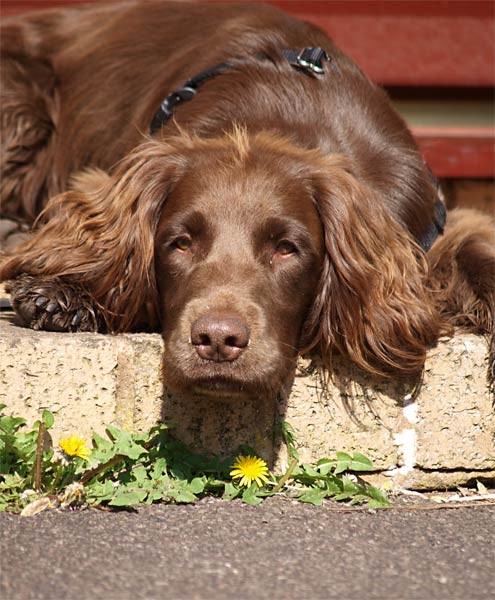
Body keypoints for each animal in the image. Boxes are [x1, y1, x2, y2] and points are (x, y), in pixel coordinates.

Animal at [0, 1, 495, 398]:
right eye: (180, 243)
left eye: (287, 249)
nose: (218, 341)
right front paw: (65, 292)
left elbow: (475, 252)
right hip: (17, 101)